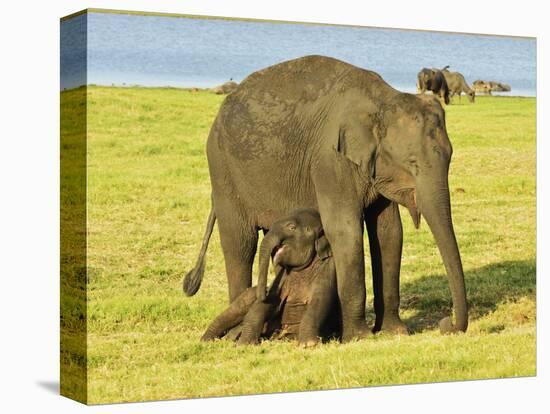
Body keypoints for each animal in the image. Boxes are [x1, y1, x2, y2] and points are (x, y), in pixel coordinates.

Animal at [203, 207, 340, 346]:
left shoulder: (329, 268)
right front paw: (244, 343)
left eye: (292, 227)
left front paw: (308, 344)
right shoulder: (282, 275)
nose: (265, 290)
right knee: (240, 305)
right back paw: (208, 340)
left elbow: (320, 300)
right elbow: (270, 301)